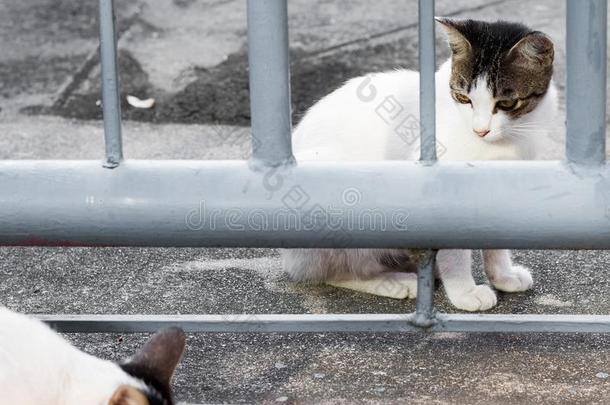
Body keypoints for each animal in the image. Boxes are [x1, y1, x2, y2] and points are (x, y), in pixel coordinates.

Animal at [280, 17, 556, 310]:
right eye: (463, 98)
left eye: (507, 102)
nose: (480, 130)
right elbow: (454, 248)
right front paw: (464, 292)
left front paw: (503, 275)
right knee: (337, 270)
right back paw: (392, 281)